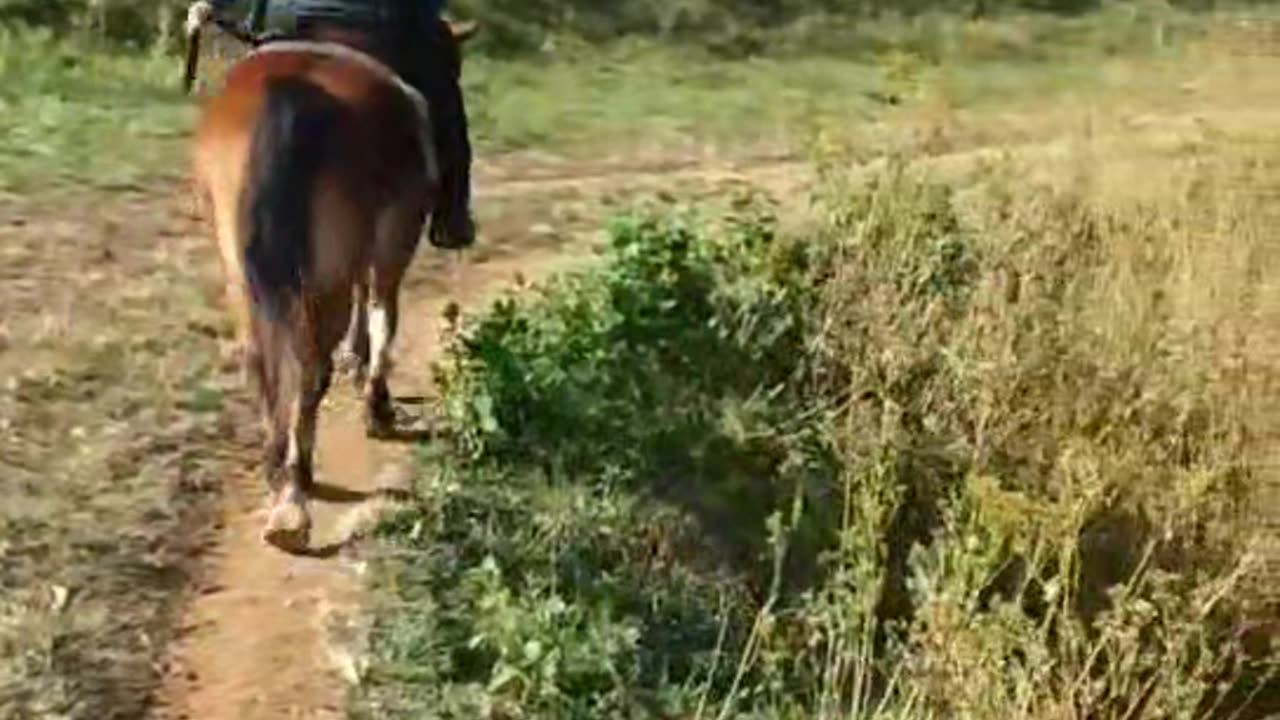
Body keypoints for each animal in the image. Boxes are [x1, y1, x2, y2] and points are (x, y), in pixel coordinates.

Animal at [186, 18, 473, 556]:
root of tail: (293, 93)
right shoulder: (390, 244)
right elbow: (383, 312)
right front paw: (376, 402)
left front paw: (357, 365)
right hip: (334, 269)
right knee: (310, 367)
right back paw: (295, 493)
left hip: (242, 269)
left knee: (260, 362)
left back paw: (280, 477)